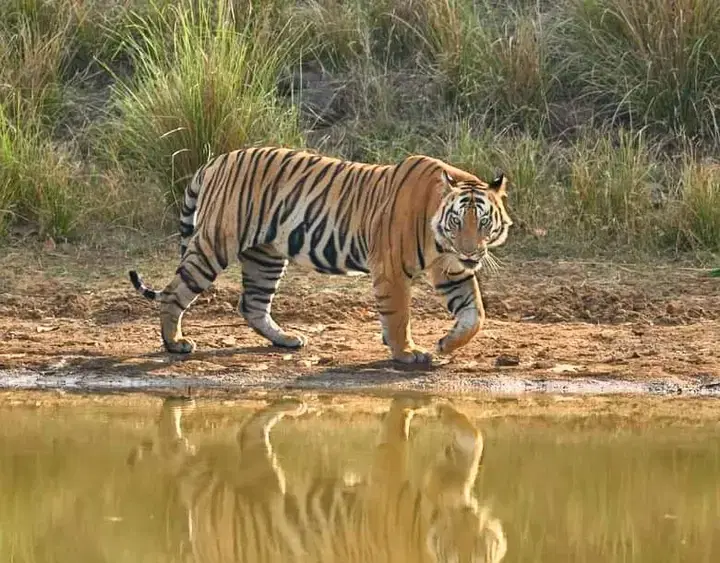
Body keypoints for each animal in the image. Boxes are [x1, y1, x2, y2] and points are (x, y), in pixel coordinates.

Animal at [128, 147, 513, 363]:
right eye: (457, 221)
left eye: (483, 222)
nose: (470, 251)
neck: (442, 241)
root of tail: (216, 161)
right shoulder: (391, 268)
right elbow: (399, 315)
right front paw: (406, 353)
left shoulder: (452, 271)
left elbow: (475, 315)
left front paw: (447, 344)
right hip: (214, 244)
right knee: (174, 293)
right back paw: (175, 343)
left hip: (265, 256)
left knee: (252, 304)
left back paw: (286, 339)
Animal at [128, 393, 508, 563]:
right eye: (454, 554)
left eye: (479, 552)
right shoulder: (389, 484)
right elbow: (395, 435)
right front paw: (427, 405)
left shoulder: (447, 486)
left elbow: (474, 440)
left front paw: (444, 411)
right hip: (246, 491)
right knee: (194, 449)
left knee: (243, 435)